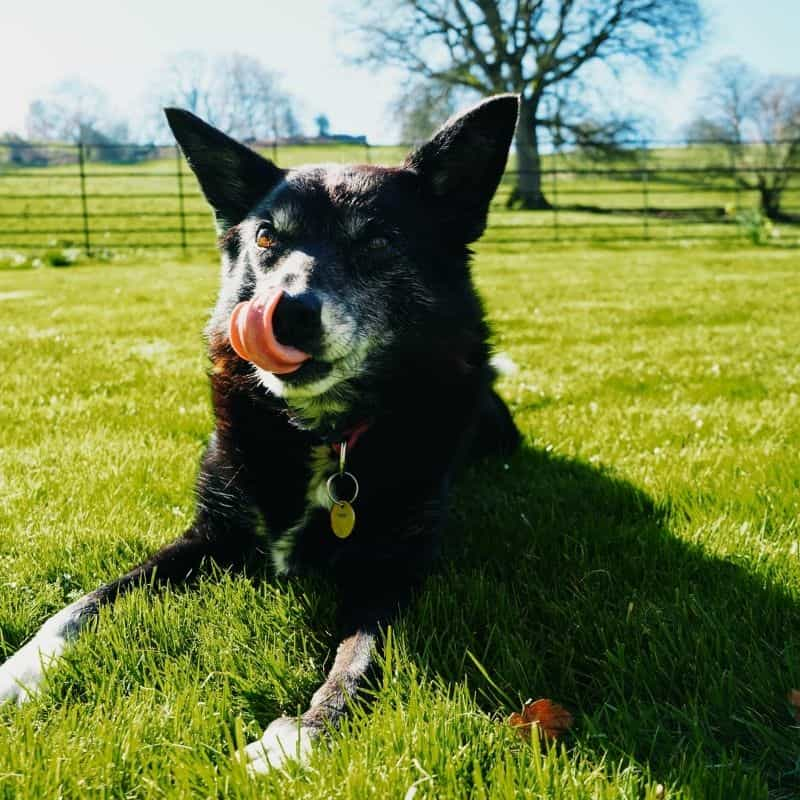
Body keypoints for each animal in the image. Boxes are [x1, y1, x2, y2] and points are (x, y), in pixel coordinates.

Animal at [0, 94, 520, 776]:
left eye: (379, 241)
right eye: (267, 237)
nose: (284, 312)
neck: (322, 434)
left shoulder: (392, 569)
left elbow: (359, 658)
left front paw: (302, 735)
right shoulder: (207, 535)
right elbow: (84, 604)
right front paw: (18, 670)